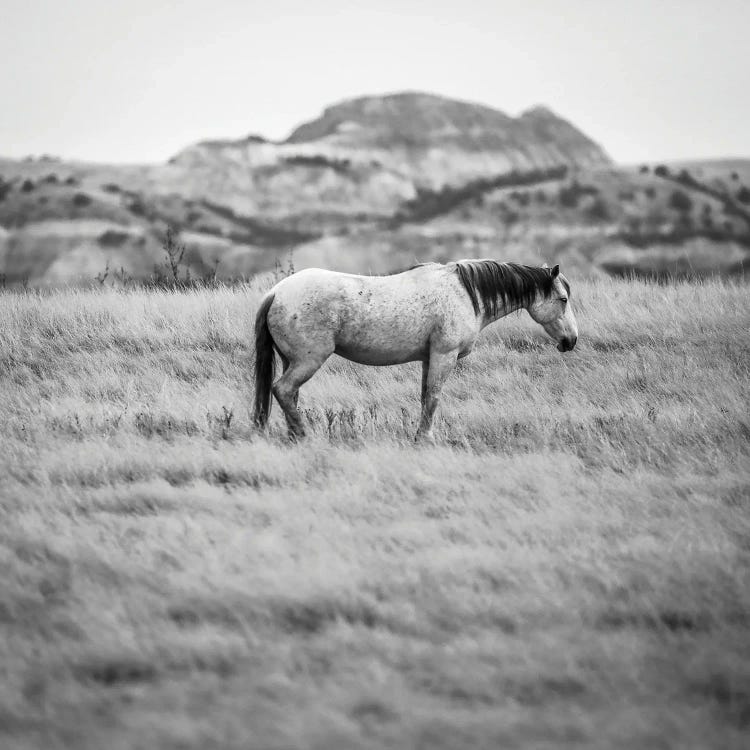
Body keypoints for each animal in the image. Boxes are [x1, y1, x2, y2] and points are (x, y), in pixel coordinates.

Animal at [256, 262, 580, 444]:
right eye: (563, 299)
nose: (571, 340)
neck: (465, 293)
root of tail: (276, 292)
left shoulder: (429, 359)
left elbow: (425, 398)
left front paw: (419, 435)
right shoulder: (444, 356)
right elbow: (434, 398)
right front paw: (426, 438)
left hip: (291, 360)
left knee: (289, 395)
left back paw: (293, 436)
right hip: (308, 360)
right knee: (283, 390)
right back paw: (304, 435)